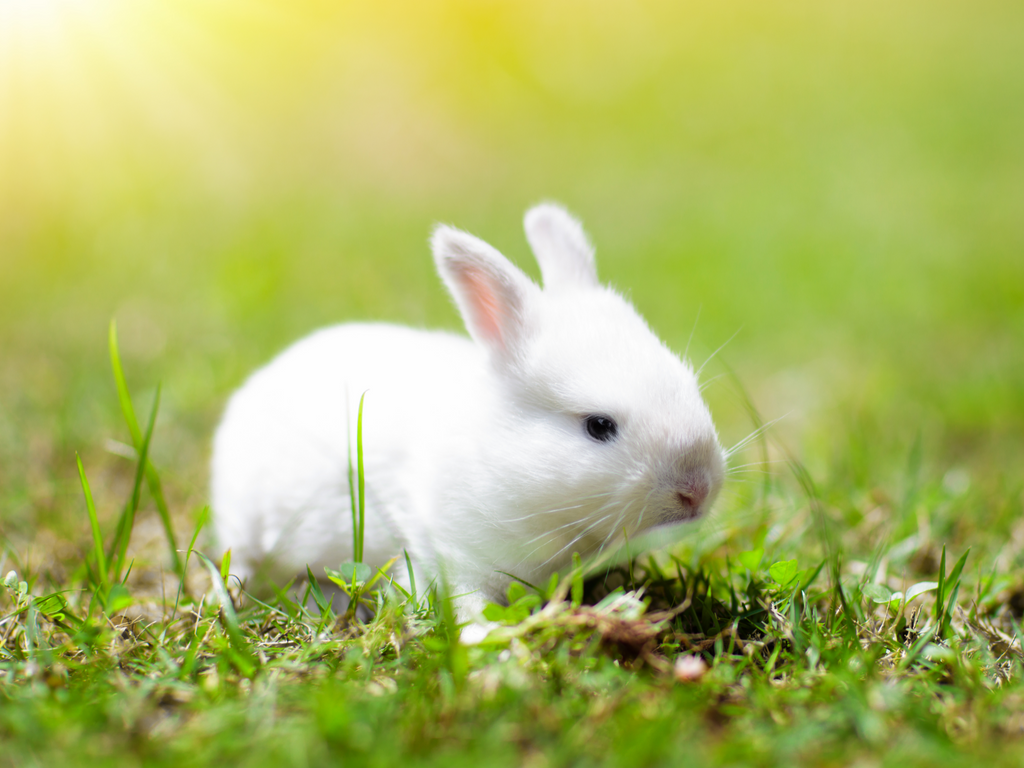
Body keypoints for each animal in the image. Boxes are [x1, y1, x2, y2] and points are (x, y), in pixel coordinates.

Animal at [211, 204, 729, 630]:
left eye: (689, 384)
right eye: (598, 425)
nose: (697, 490)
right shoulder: (447, 553)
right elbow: (465, 602)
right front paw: (488, 639)